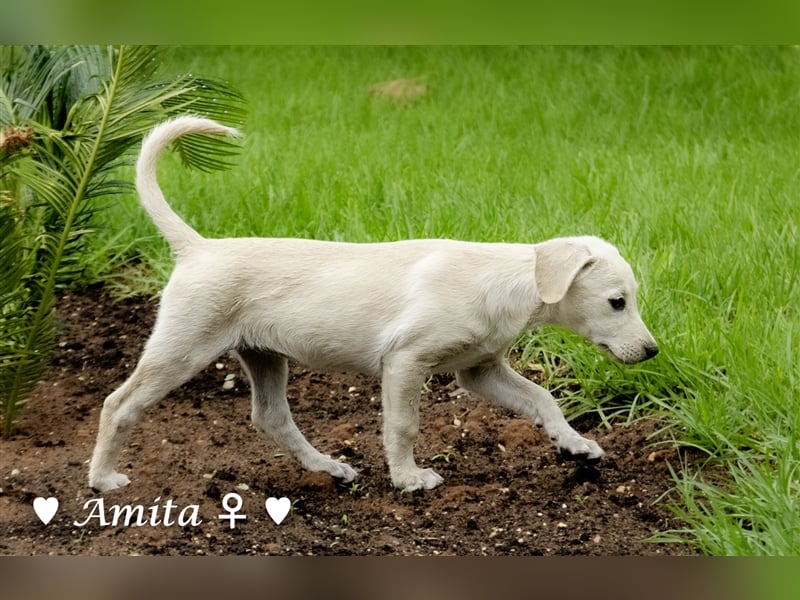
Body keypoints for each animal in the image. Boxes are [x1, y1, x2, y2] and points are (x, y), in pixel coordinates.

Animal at [90, 116, 660, 492]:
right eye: (617, 302)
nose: (653, 352)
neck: (505, 281)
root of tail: (198, 247)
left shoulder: (479, 370)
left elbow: (543, 398)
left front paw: (574, 444)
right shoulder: (406, 362)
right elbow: (403, 425)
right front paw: (409, 478)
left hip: (263, 355)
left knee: (271, 418)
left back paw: (328, 468)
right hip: (182, 348)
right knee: (119, 404)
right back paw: (102, 479)